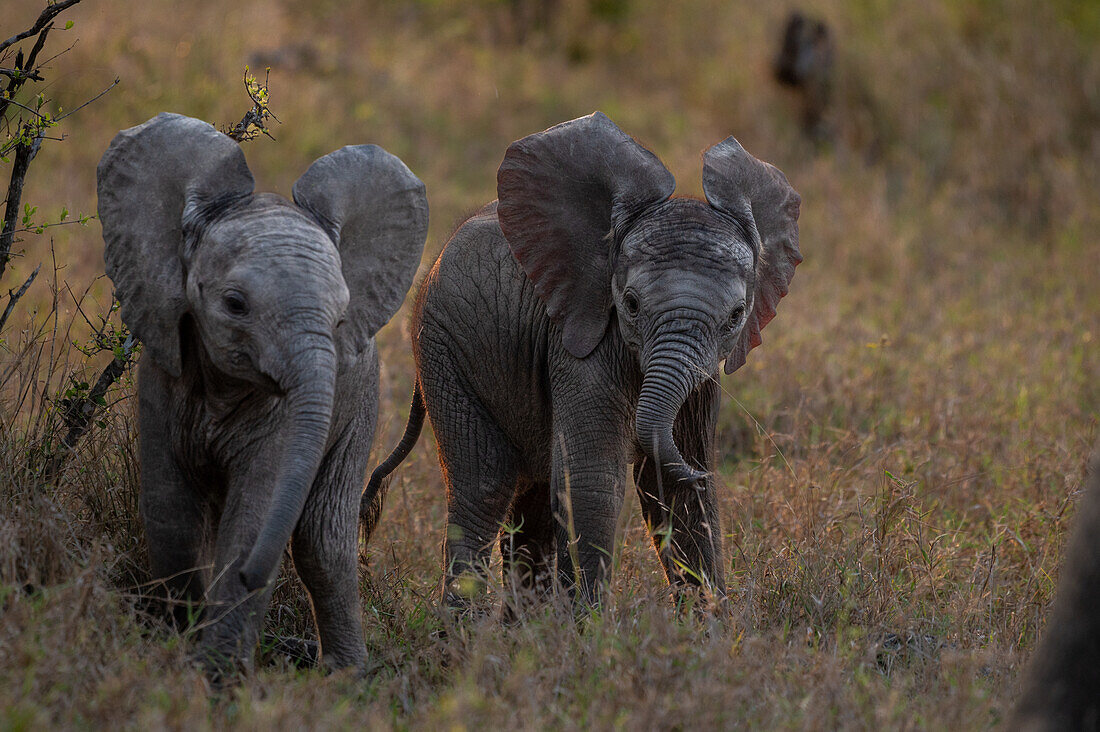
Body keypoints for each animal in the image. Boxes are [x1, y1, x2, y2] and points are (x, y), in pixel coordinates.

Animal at [99, 112, 426, 673]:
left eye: (340, 318)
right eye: (234, 305)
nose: (255, 575)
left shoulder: (286, 415)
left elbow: (252, 518)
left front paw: (213, 675)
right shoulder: (161, 374)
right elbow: (170, 514)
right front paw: (183, 645)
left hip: (360, 404)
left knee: (321, 541)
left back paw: (345, 676)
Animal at [367, 111, 800, 607]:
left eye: (735, 317)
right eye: (630, 303)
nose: (701, 468)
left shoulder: (705, 375)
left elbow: (676, 494)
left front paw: (708, 622)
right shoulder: (583, 338)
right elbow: (591, 482)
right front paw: (591, 625)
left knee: (531, 503)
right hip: (443, 349)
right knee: (484, 485)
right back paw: (464, 626)